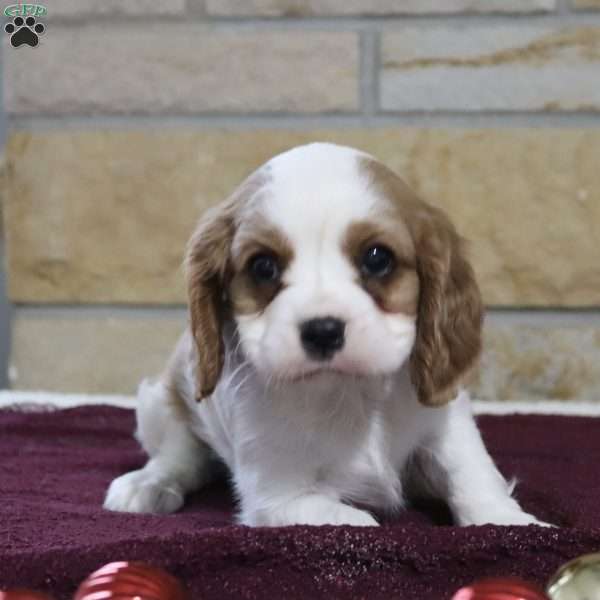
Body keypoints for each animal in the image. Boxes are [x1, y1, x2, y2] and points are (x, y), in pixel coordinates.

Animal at [104, 143, 544, 528]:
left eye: (377, 258)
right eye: (263, 266)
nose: (323, 330)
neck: (348, 392)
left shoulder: (445, 422)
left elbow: (470, 473)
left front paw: (511, 522)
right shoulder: (279, 496)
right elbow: (351, 521)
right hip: (161, 400)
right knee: (179, 456)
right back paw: (146, 485)